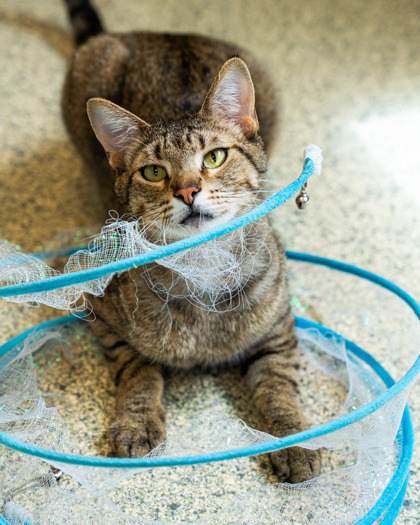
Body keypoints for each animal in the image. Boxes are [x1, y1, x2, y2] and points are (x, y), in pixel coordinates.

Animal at [61, 0, 322, 482]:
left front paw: (294, 441)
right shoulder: (98, 309)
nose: (187, 191)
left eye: (214, 157)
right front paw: (136, 420)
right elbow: (137, 369)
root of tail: (165, 33)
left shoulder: (279, 333)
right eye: (154, 172)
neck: (203, 265)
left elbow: (280, 390)